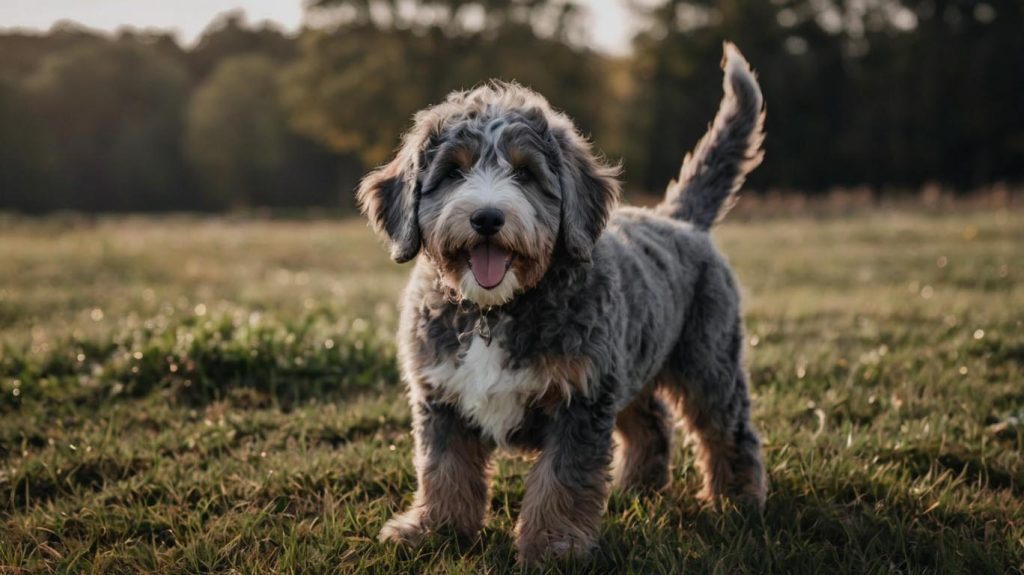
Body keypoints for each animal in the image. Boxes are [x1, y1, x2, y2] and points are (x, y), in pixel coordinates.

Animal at [360, 42, 770, 560]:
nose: (487, 217)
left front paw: (553, 546)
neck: (494, 311)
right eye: (453, 171)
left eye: (526, 173)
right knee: (651, 423)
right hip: (628, 366)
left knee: (728, 431)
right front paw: (436, 530)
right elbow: (443, 469)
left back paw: (738, 502)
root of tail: (679, 219)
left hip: (707, 362)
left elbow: (561, 481)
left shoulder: (580, 400)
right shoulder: (442, 396)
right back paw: (639, 487)